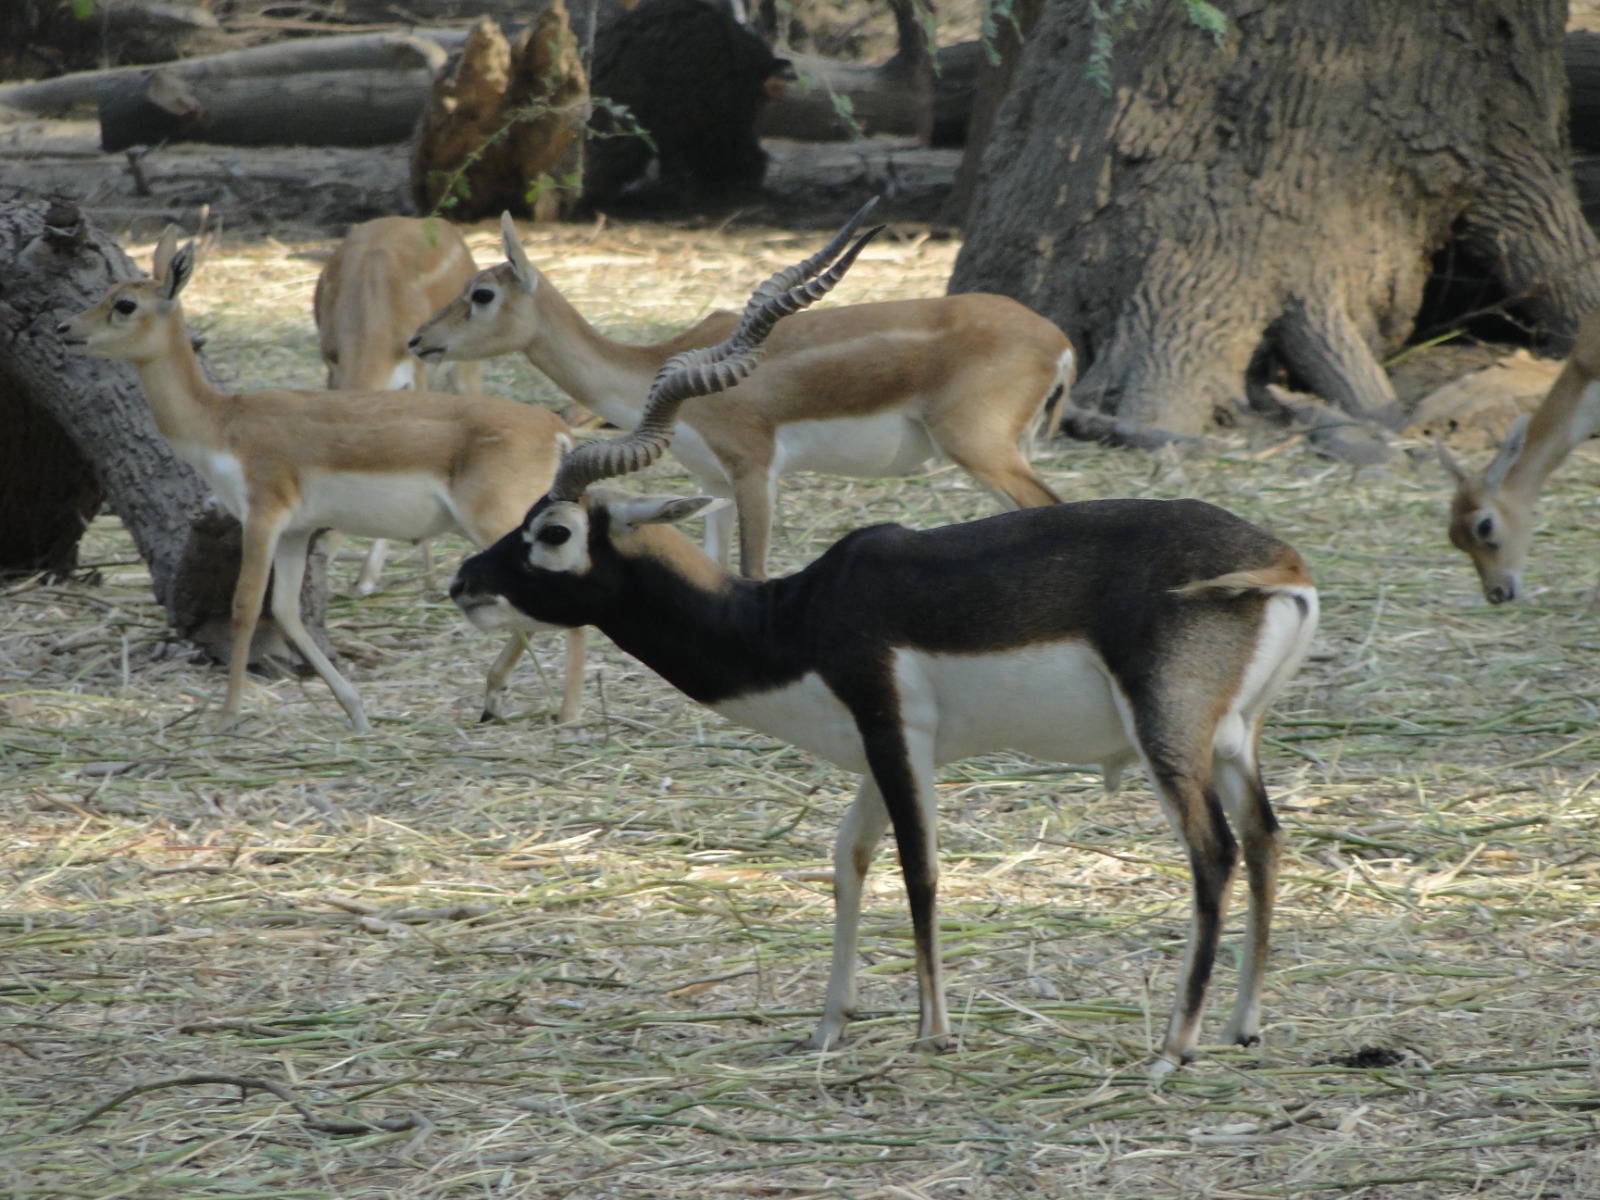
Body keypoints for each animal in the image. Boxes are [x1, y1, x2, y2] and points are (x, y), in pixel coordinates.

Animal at [409, 205, 1075, 579]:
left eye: (482, 294)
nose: (419, 340)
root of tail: (1058, 340)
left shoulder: (755, 472)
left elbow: (753, 571)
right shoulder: (714, 485)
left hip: (982, 450)